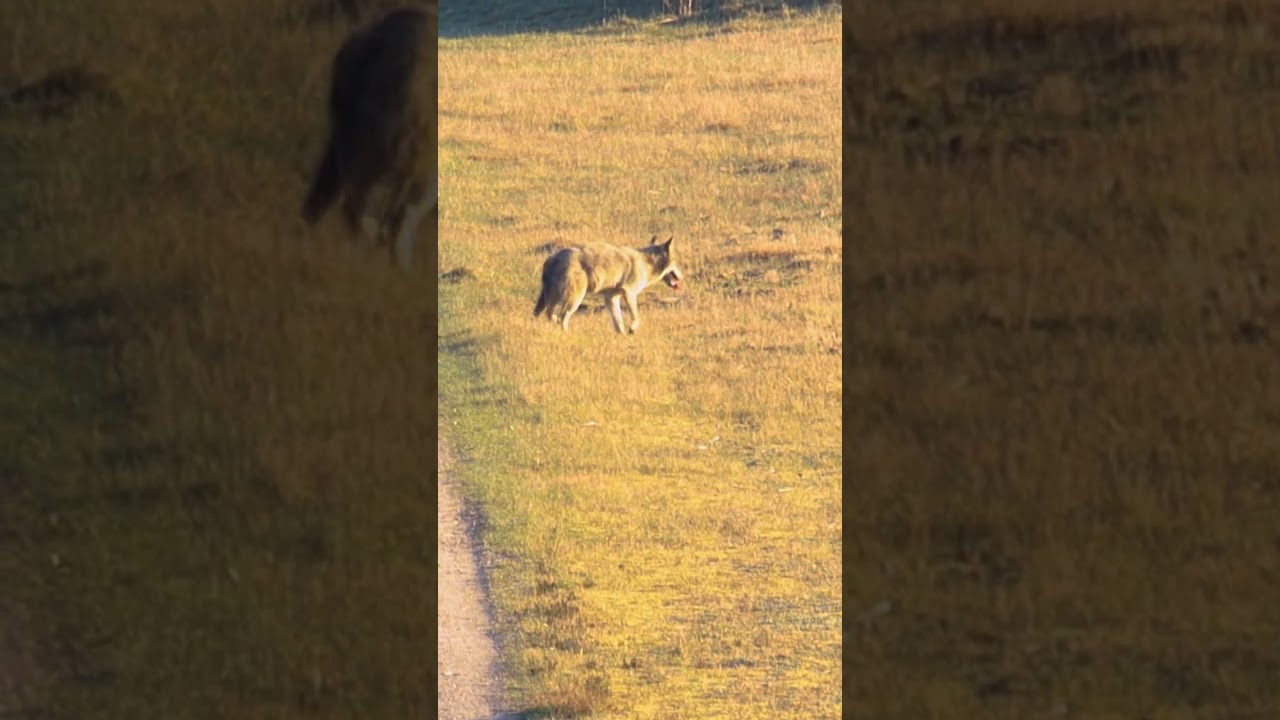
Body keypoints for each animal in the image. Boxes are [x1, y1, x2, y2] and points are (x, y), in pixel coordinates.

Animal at [533, 236, 684, 334]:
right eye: (677, 263)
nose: (683, 277)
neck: (646, 263)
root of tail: (551, 259)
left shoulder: (612, 298)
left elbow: (618, 323)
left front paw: (622, 337)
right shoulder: (629, 292)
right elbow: (636, 317)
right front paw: (632, 329)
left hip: (554, 299)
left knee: (549, 315)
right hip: (575, 299)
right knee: (561, 317)